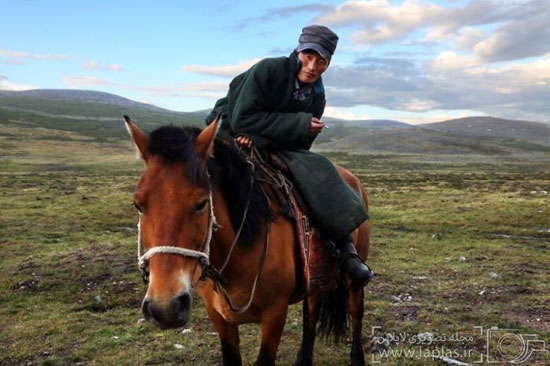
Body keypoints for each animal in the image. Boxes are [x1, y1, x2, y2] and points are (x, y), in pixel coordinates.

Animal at [125, 115, 374, 366]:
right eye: (138, 205)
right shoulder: (217, 315)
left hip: (354, 274)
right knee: (312, 309)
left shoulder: (275, 313)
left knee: (355, 308)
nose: (164, 308)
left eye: (202, 203)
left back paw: (357, 356)